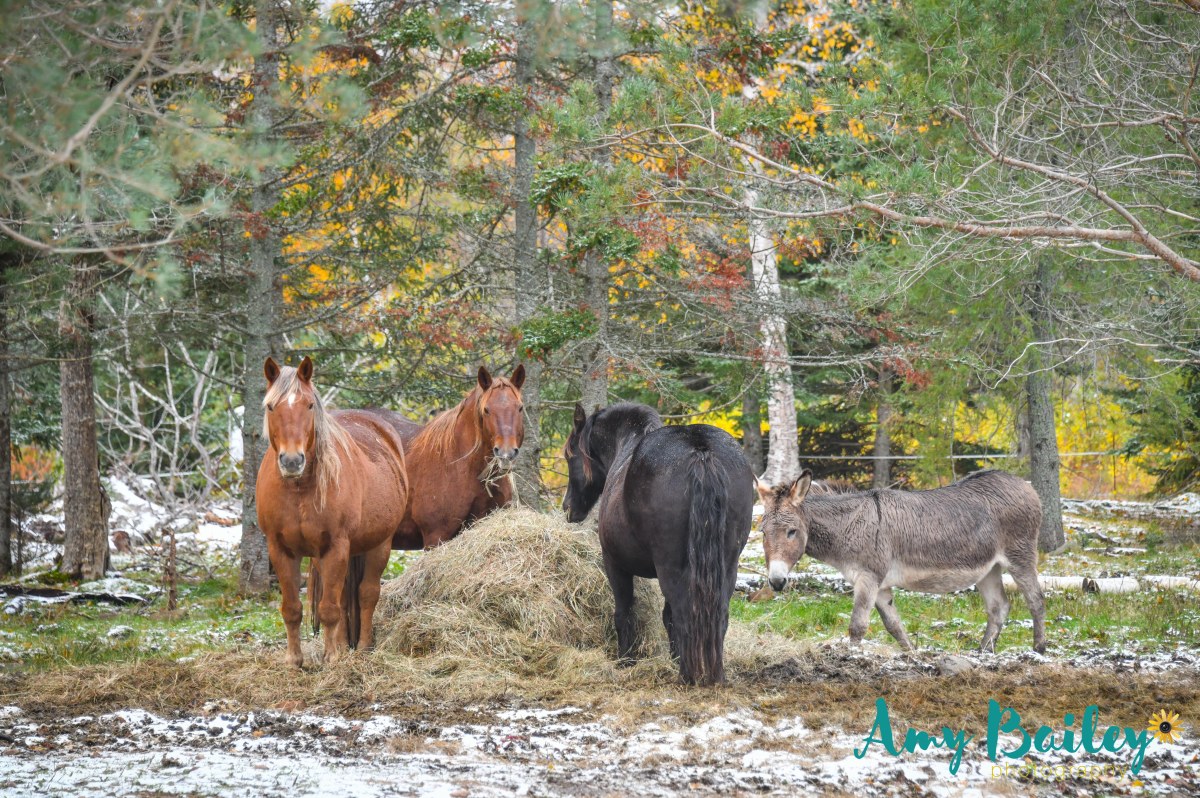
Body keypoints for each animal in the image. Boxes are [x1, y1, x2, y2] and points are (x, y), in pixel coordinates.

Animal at [255, 356, 409, 667]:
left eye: (309, 405)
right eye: (271, 406)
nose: (292, 461)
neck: (298, 489)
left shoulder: (336, 546)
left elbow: (329, 609)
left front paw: (331, 659)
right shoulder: (280, 549)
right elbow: (292, 608)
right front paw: (294, 660)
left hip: (378, 545)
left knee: (367, 594)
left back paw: (361, 647)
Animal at [563, 402, 754, 685]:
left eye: (570, 454)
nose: (568, 508)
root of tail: (701, 452)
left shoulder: (614, 563)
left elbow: (624, 612)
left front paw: (626, 660)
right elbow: (667, 617)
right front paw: (673, 657)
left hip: (670, 567)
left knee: (685, 613)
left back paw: (688, 675)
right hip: (727, 566)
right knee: (718, 614)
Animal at [756, 468, 1047, 653]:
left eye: (791, 532)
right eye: (762, 532)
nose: (777, 582)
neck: (851, 525)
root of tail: (1023, 484)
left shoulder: (869, 577)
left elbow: (858, 626)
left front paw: (850, 659)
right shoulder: (881, 586)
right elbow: (893, 626)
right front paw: (912, 656)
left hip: (1020, 556)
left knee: (1036, 600)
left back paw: (1038, 650)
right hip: (988, 569)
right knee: (999, 607)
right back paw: (984, 652)